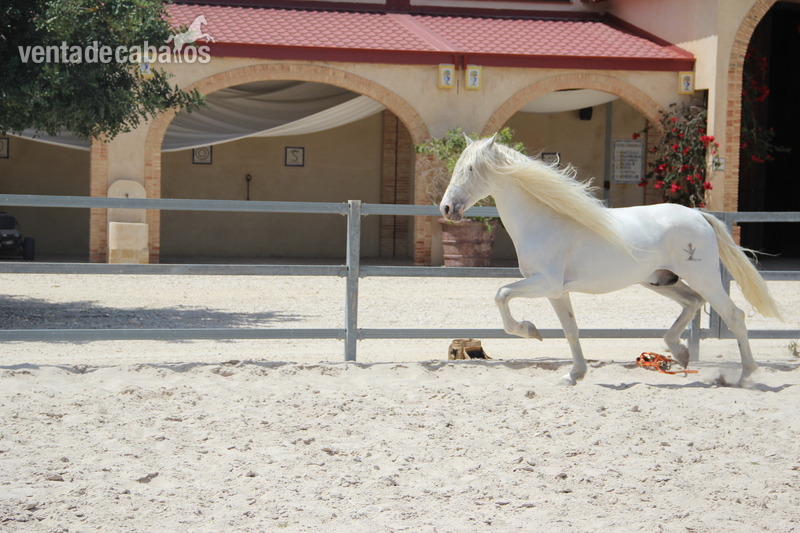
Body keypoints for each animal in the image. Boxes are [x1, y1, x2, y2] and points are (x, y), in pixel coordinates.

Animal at [439, 135, 783, 386]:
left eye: (471, 169)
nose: (446, 208)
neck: (543, 219)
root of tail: (699, 215)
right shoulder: (556, 291)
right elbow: (571, 329)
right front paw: (574, 375)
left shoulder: (545, 283)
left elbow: (501, 295)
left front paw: (530, 330)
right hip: (660, 280)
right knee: (693, 303)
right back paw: (681, 352)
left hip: (705, 278)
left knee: (734, 315)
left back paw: (744, 375)